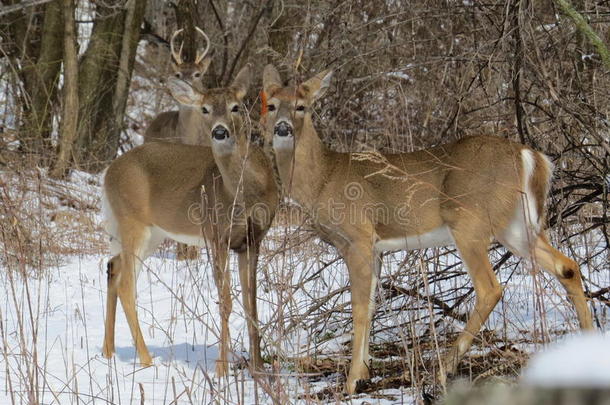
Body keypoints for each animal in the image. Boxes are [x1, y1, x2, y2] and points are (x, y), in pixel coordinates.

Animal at [101, 64, 276, 378]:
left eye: (235, 106)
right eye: (205, 109)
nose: (220, 132)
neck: (244, 193)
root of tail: (109, 171)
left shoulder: (253, 240)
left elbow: (251, 303)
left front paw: (257, 369)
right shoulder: (217, 235)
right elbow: (226, 301)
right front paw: (221, 369)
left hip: (151, 232)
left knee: (113, 266)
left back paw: (107, 352)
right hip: (132, 221)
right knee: (126, 284)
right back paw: (146, 359)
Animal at [258, 64, 592, 392]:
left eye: (302, 106)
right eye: (271, 105)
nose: (282, 128)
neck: (322, 178)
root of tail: (531, 156)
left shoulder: (358, 236)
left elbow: (360, 307)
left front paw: (352, 381)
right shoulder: (375, 247)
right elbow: (372, 304)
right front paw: (364, 373)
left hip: (469, 222)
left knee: (490, 288)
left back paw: (443, 371)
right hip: (516, 227)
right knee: (567, 266)